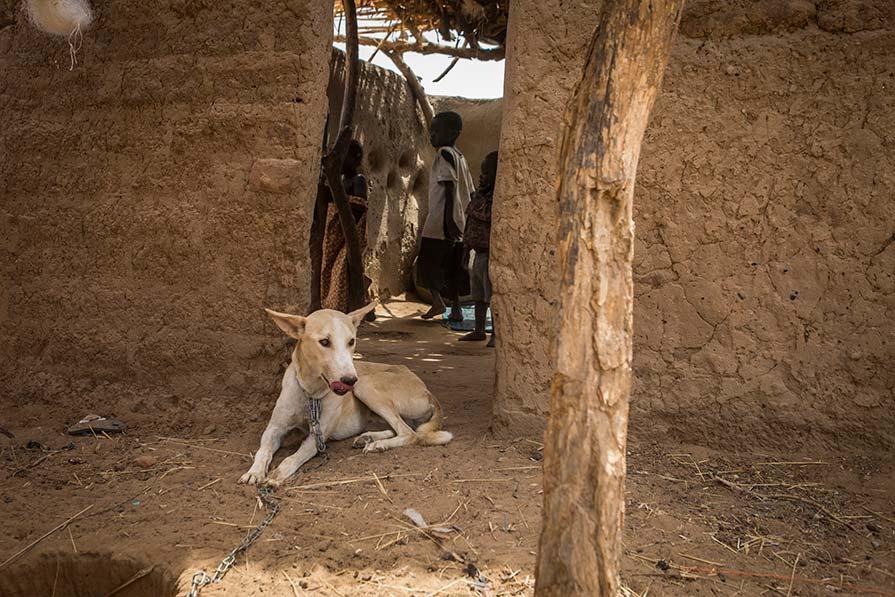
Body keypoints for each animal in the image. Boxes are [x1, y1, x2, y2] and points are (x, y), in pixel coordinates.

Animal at [240, 300, 456, 486]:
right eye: (324, 342)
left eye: (351, 341)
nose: (350, 380)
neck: (310, 393)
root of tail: (427, 391)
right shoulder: (274, 428)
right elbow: (263, 451)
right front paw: (254, 472)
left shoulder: (319, 435)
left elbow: (294, 456)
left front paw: (277, 475)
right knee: (399, 428)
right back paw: (368, 438)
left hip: (365, 385)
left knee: (409, 433)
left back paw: (379, 445)